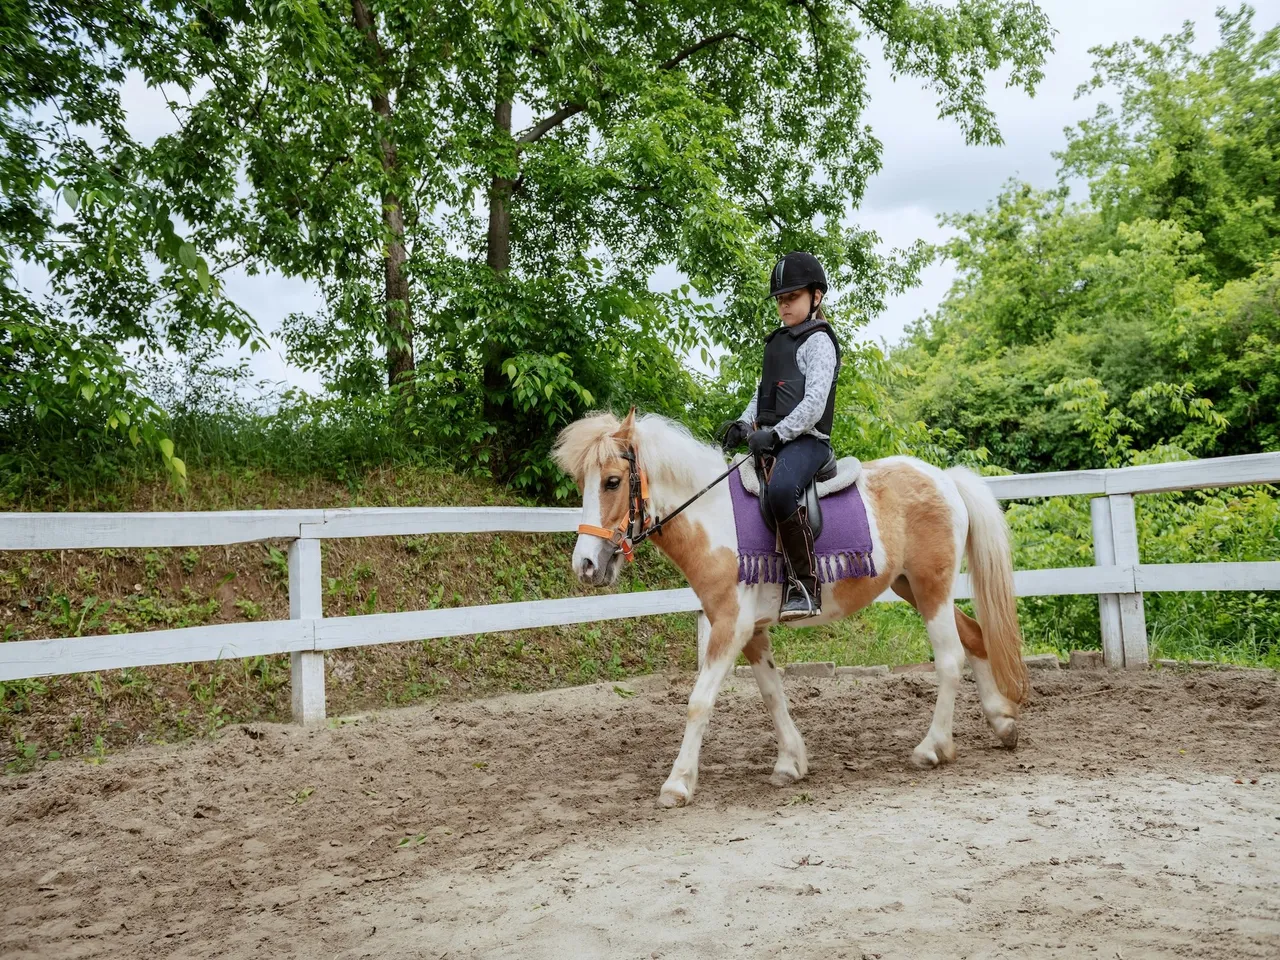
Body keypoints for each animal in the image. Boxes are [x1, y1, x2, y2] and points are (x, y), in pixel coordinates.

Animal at [552, 408, 1028, 808]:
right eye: (582, 483)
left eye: (613, 481)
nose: (586, 565)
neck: (714, 521)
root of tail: (945, 479)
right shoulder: (753, 631)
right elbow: (771, 693)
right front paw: (791, 763)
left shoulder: (730, 626)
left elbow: (699, 701)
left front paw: (678, 783)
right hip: (913, 587)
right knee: (975, 637)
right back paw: (1002, 723)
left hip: (933, 590)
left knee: (949, 659)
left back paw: (933, 748)